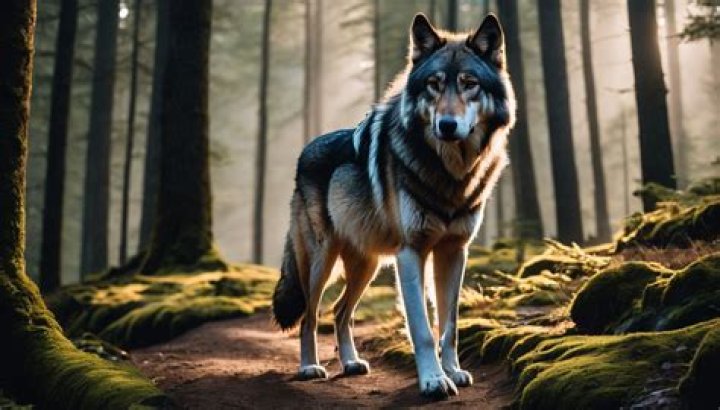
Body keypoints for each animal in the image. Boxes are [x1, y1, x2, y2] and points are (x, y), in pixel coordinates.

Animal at [272, 13, 515, 398]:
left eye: (469, 84)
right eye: (433, 85)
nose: (447, 125)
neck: (450, 174)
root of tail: (304, 151)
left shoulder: (454, 251)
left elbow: (449, 325)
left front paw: (453, 371)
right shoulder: (411, 253)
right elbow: (422, 330)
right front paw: (433, 380)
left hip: (367, 265)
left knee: (340, 311)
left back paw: (351, 363)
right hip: (321, 261)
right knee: (311, 316)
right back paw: (309, 367)